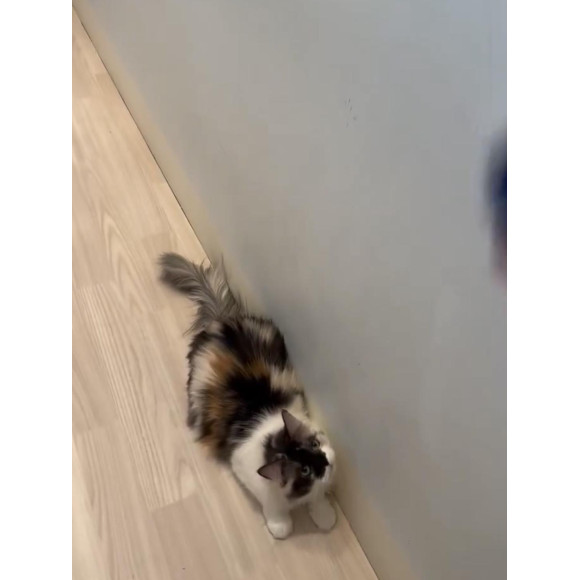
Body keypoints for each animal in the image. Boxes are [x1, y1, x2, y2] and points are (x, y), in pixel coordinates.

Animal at [159, 253, 337, 539]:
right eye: (306, 470)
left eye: (315, 445)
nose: (326, 462)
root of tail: (221, 321)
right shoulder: (244, 469)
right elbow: (273, 506)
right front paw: (280, 525)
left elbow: (319, 498)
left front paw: (324, 515)